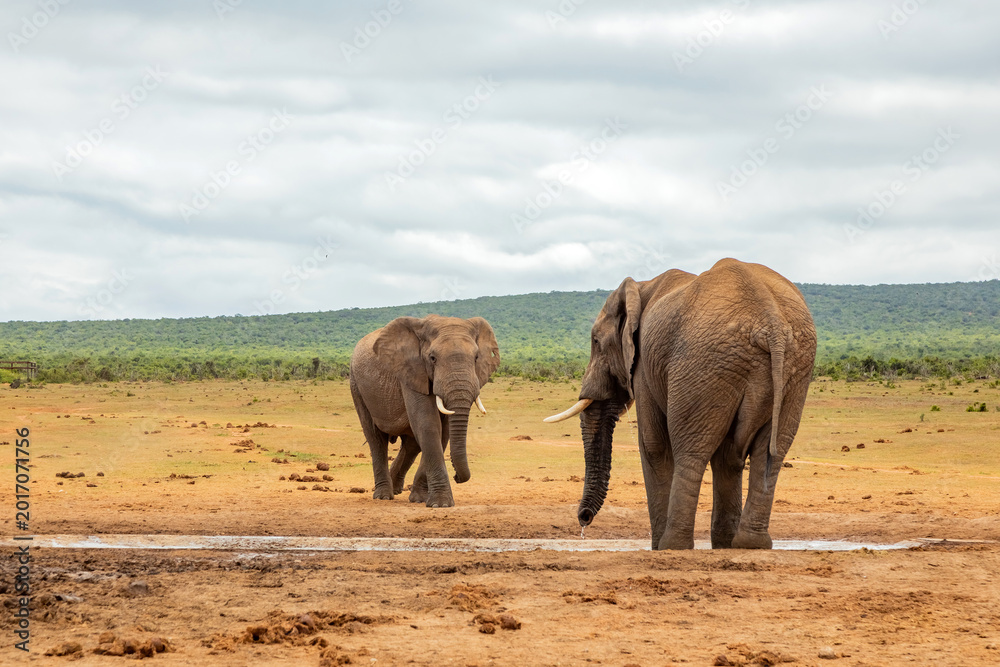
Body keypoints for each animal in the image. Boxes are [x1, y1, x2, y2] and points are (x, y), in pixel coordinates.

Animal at [350, 315, 500, 507]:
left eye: (476, 357)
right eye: (433, 358)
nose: (457, 477)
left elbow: (442, 431)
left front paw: (420, 499)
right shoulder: (411, 371)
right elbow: (428, 425)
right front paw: (441, 504)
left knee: (411, 445)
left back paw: (396, 488)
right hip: (356, 385)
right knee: (376, 438)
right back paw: (383, 495)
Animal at [545, 258, 816, 550]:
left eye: (596, 341)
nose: (583, 519)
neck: (641, 288)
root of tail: (771, 324)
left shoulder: (643, 366)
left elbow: (654, 445)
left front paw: (657, 548)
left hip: (703, 364)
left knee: (690, 450)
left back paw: (673, 545)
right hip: (792, 371)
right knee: (764, 454)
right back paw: (747, 544)